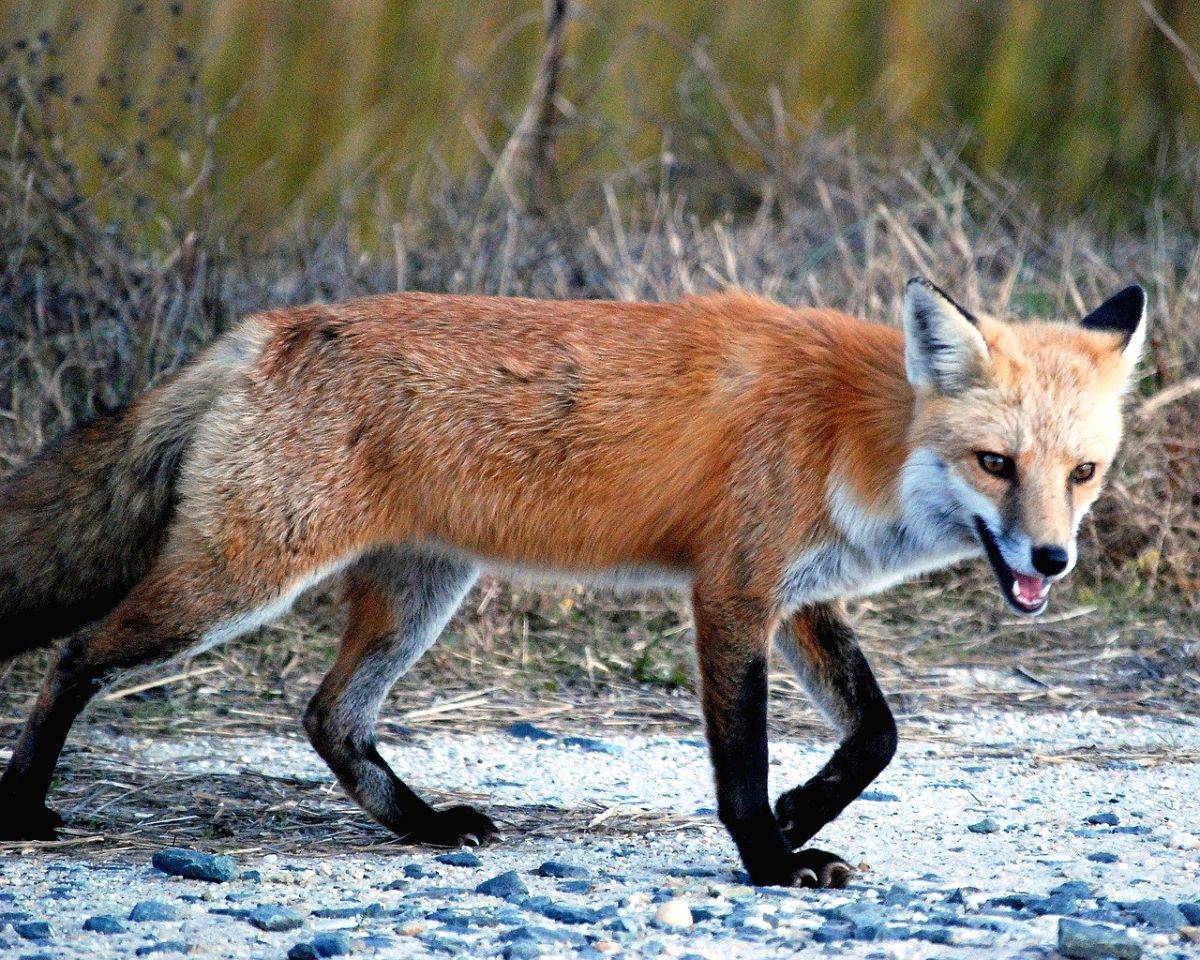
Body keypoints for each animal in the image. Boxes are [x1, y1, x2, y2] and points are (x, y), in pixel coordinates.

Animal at [0, 278, 1145, 886]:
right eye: (996, 464)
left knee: (330, 716)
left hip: (416, 596)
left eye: (1082, 474)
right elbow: (740, 764)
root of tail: (265, 331)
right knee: (78, 655)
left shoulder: (801, 595)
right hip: (240, 580)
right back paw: (22, 805)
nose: (1052, 561)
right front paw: (772, 859)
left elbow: (877, 734)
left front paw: (804, 813)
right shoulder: (732, 591)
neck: (846, 432)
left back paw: (422, 827)